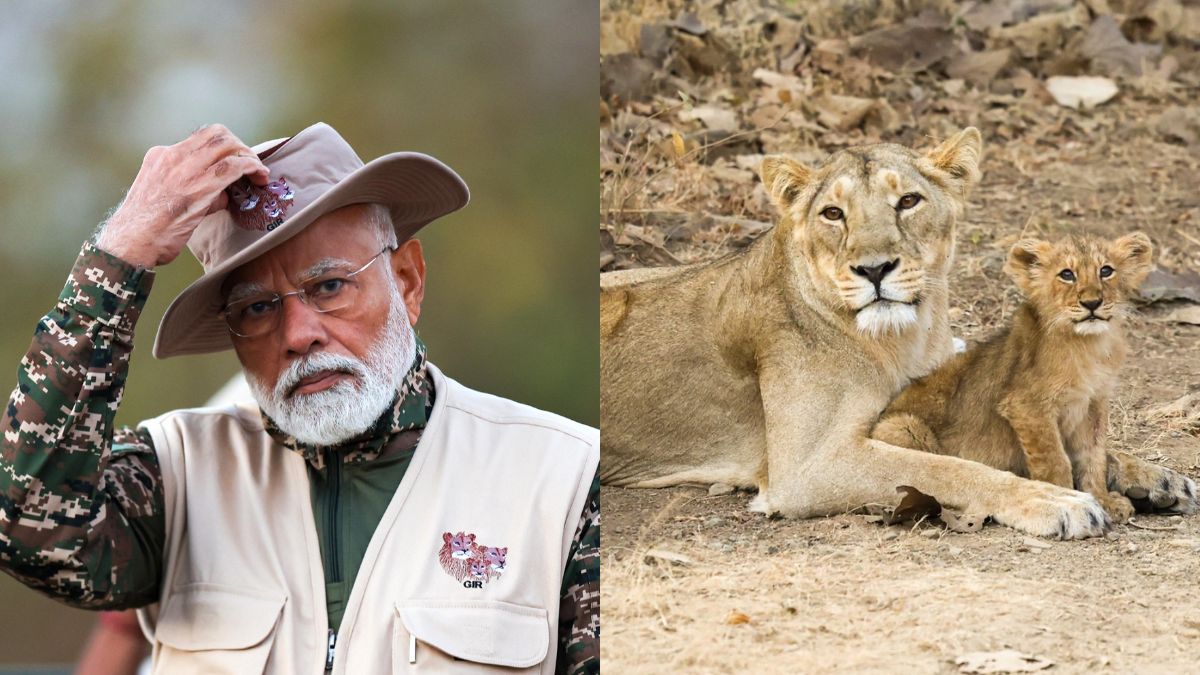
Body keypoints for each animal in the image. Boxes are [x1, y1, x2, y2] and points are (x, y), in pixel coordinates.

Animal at [873, 232, 1196, 525]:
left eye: (1106, 271)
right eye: (1066, 274)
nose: (1092, 302)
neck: (1087, 346)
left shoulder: (1093, 405)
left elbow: (1093, 457)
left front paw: (1104, 500)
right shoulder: (1027, 406)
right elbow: (1056, 460)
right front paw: (1070, 500)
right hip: (903, 427)